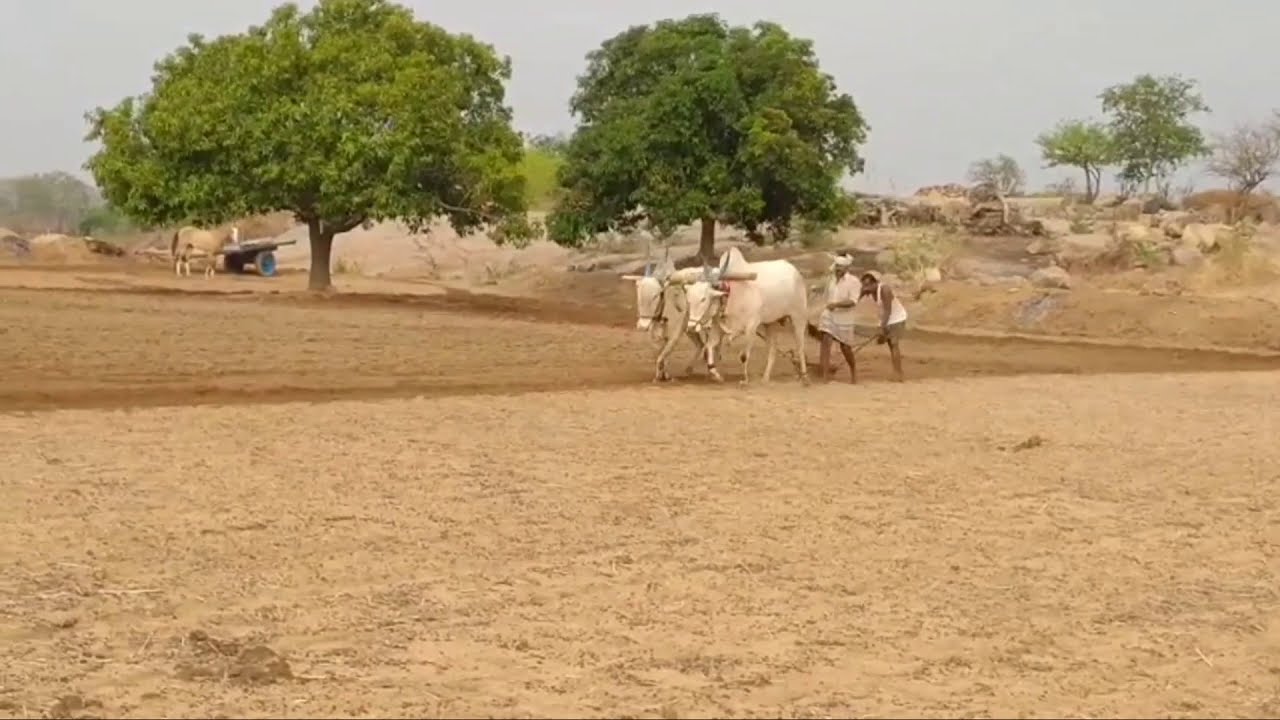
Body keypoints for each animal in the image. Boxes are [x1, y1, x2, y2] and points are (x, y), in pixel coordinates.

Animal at [668, 247, 809, 385]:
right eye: (688, 300)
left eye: (703, 299)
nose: (691, 327)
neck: (729, 295)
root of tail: (794, 270)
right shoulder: (718, 328)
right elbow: (709, 348)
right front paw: (716, 375)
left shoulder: (751, 327)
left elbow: (743, 356)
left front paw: (745, 379)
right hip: (770, 323)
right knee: (773, 348)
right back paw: (765, 378)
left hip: (798, 317)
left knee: (800, 346)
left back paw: (804, 376)